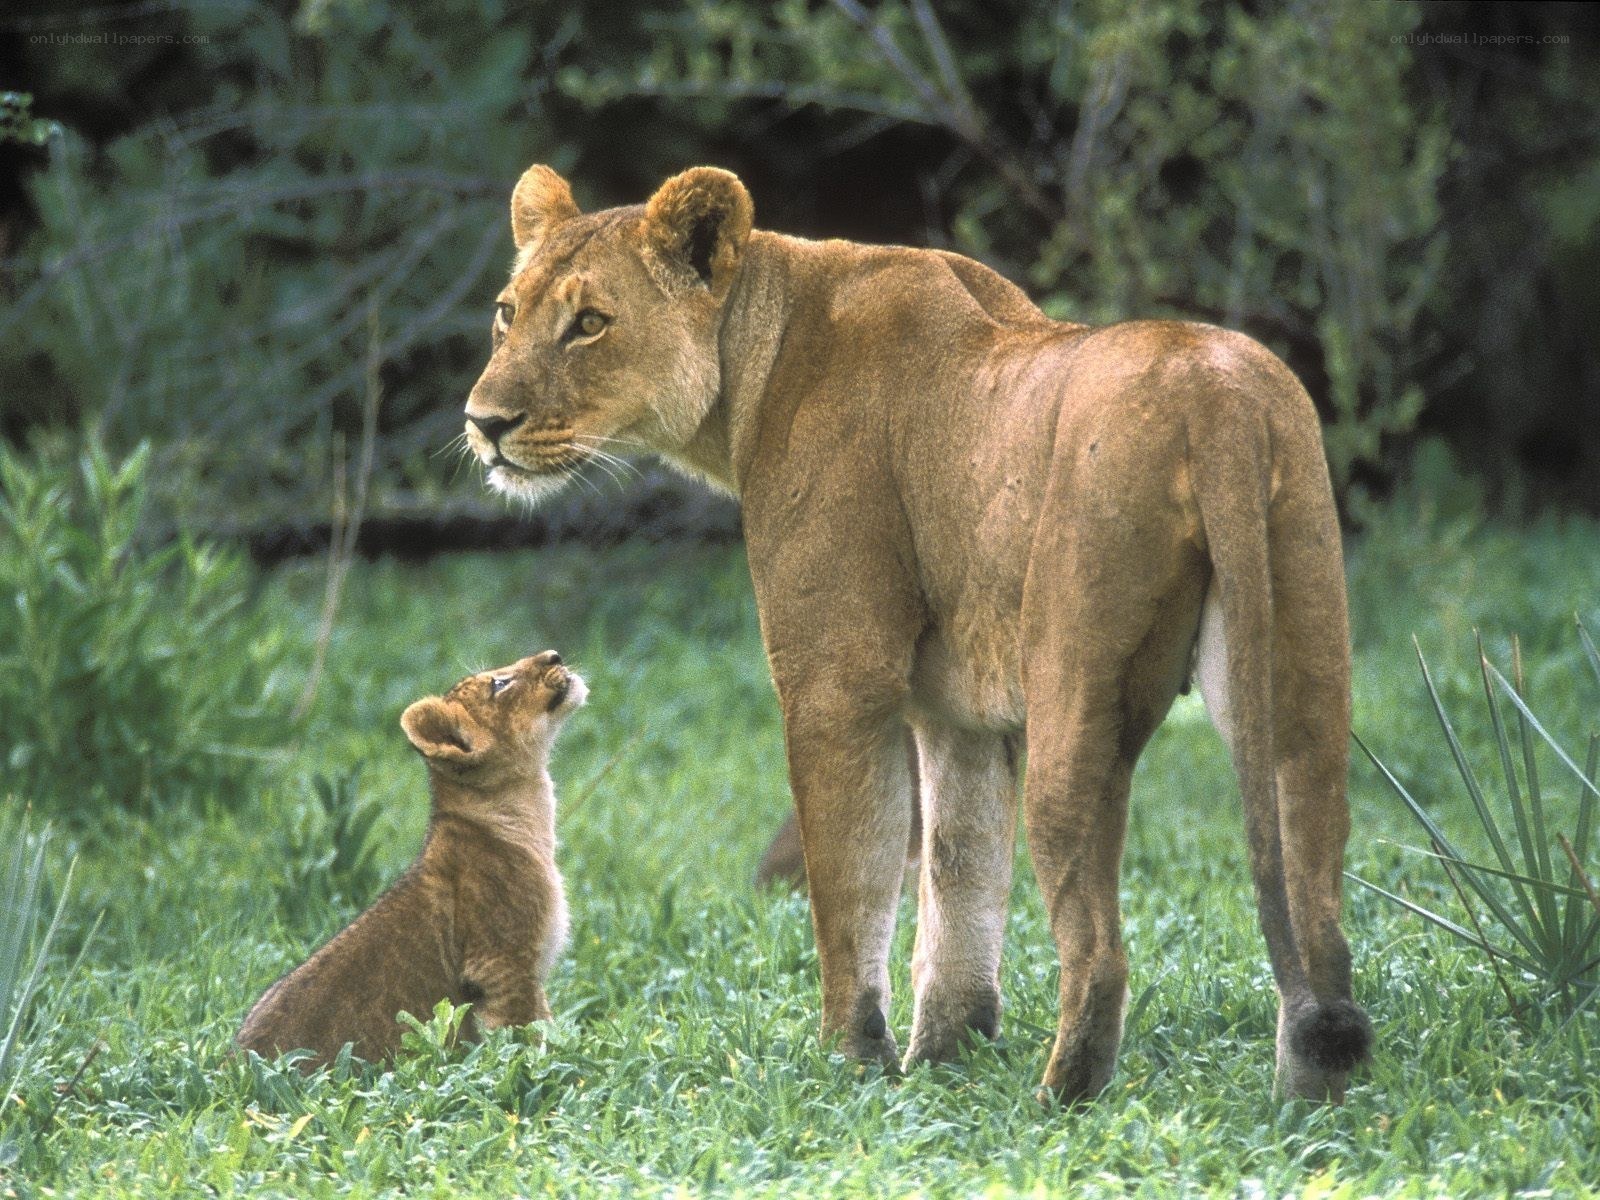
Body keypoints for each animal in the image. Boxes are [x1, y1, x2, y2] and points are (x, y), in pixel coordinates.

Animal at [236, 651, 584, 1071]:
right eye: (499, 684)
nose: (554, 655)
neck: (525, 812)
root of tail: (230, 1067)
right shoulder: (501, 965)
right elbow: (529, 1036)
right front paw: (548, 1071)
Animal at [461, 164, 1371, 1103]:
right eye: (506, 313)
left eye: (590, 323)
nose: (483, 421)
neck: (755, 356)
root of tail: (1219, 399)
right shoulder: (957, 715)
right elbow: (960, 879)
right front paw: (944, 1063)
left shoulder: (837, 683)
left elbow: (850, 886)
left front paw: (850, 1064)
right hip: (1299, 666)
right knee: (1319, 912)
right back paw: (1309, 1097)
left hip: (1076, 699)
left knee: (1100, 951)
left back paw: (1056, 1104)